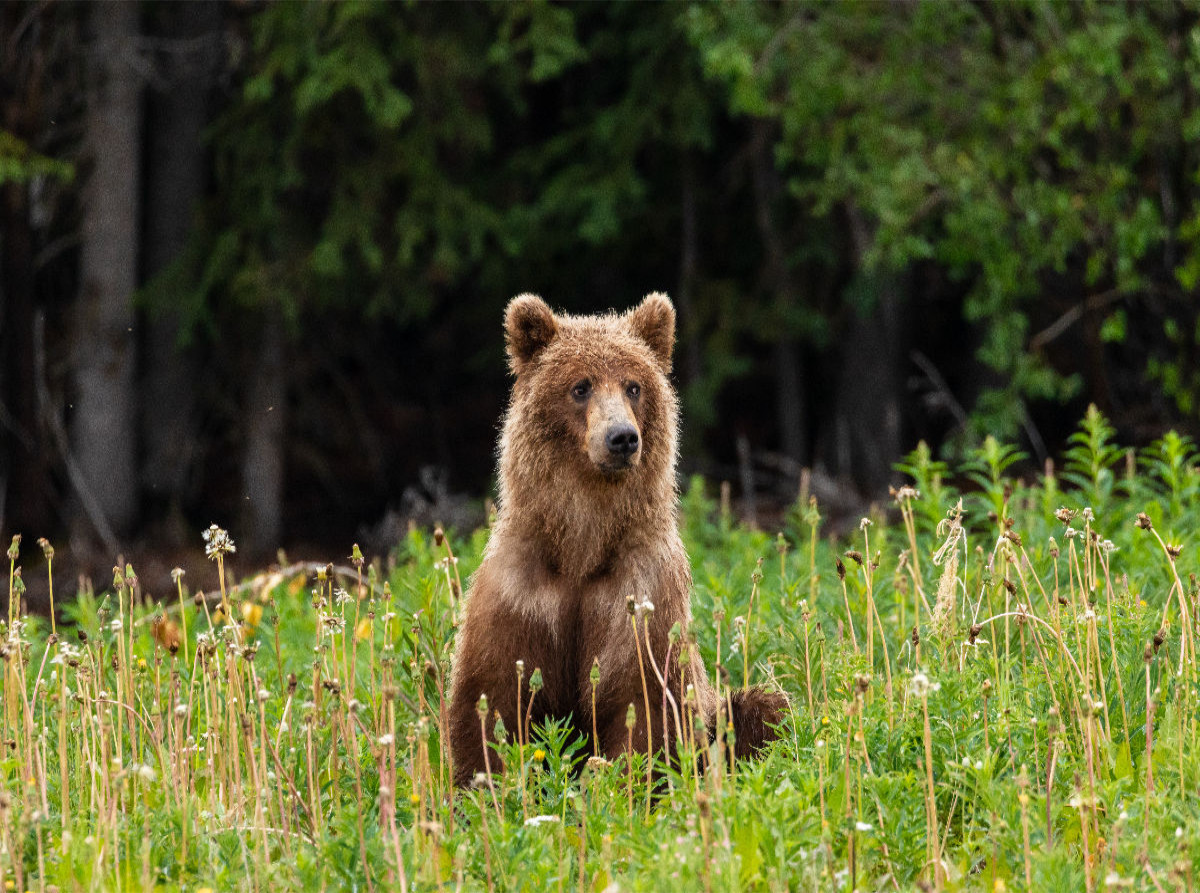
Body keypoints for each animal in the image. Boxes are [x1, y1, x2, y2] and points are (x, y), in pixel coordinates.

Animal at [446, 289, 782, 782]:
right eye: (580, 385)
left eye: (634, 386)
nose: (622, 437)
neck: (583, 545)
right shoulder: (521, 590)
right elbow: (492, 696)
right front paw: (486, 782)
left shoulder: (639, 592)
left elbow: (643, 701)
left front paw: (617, 781)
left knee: (764, 710)